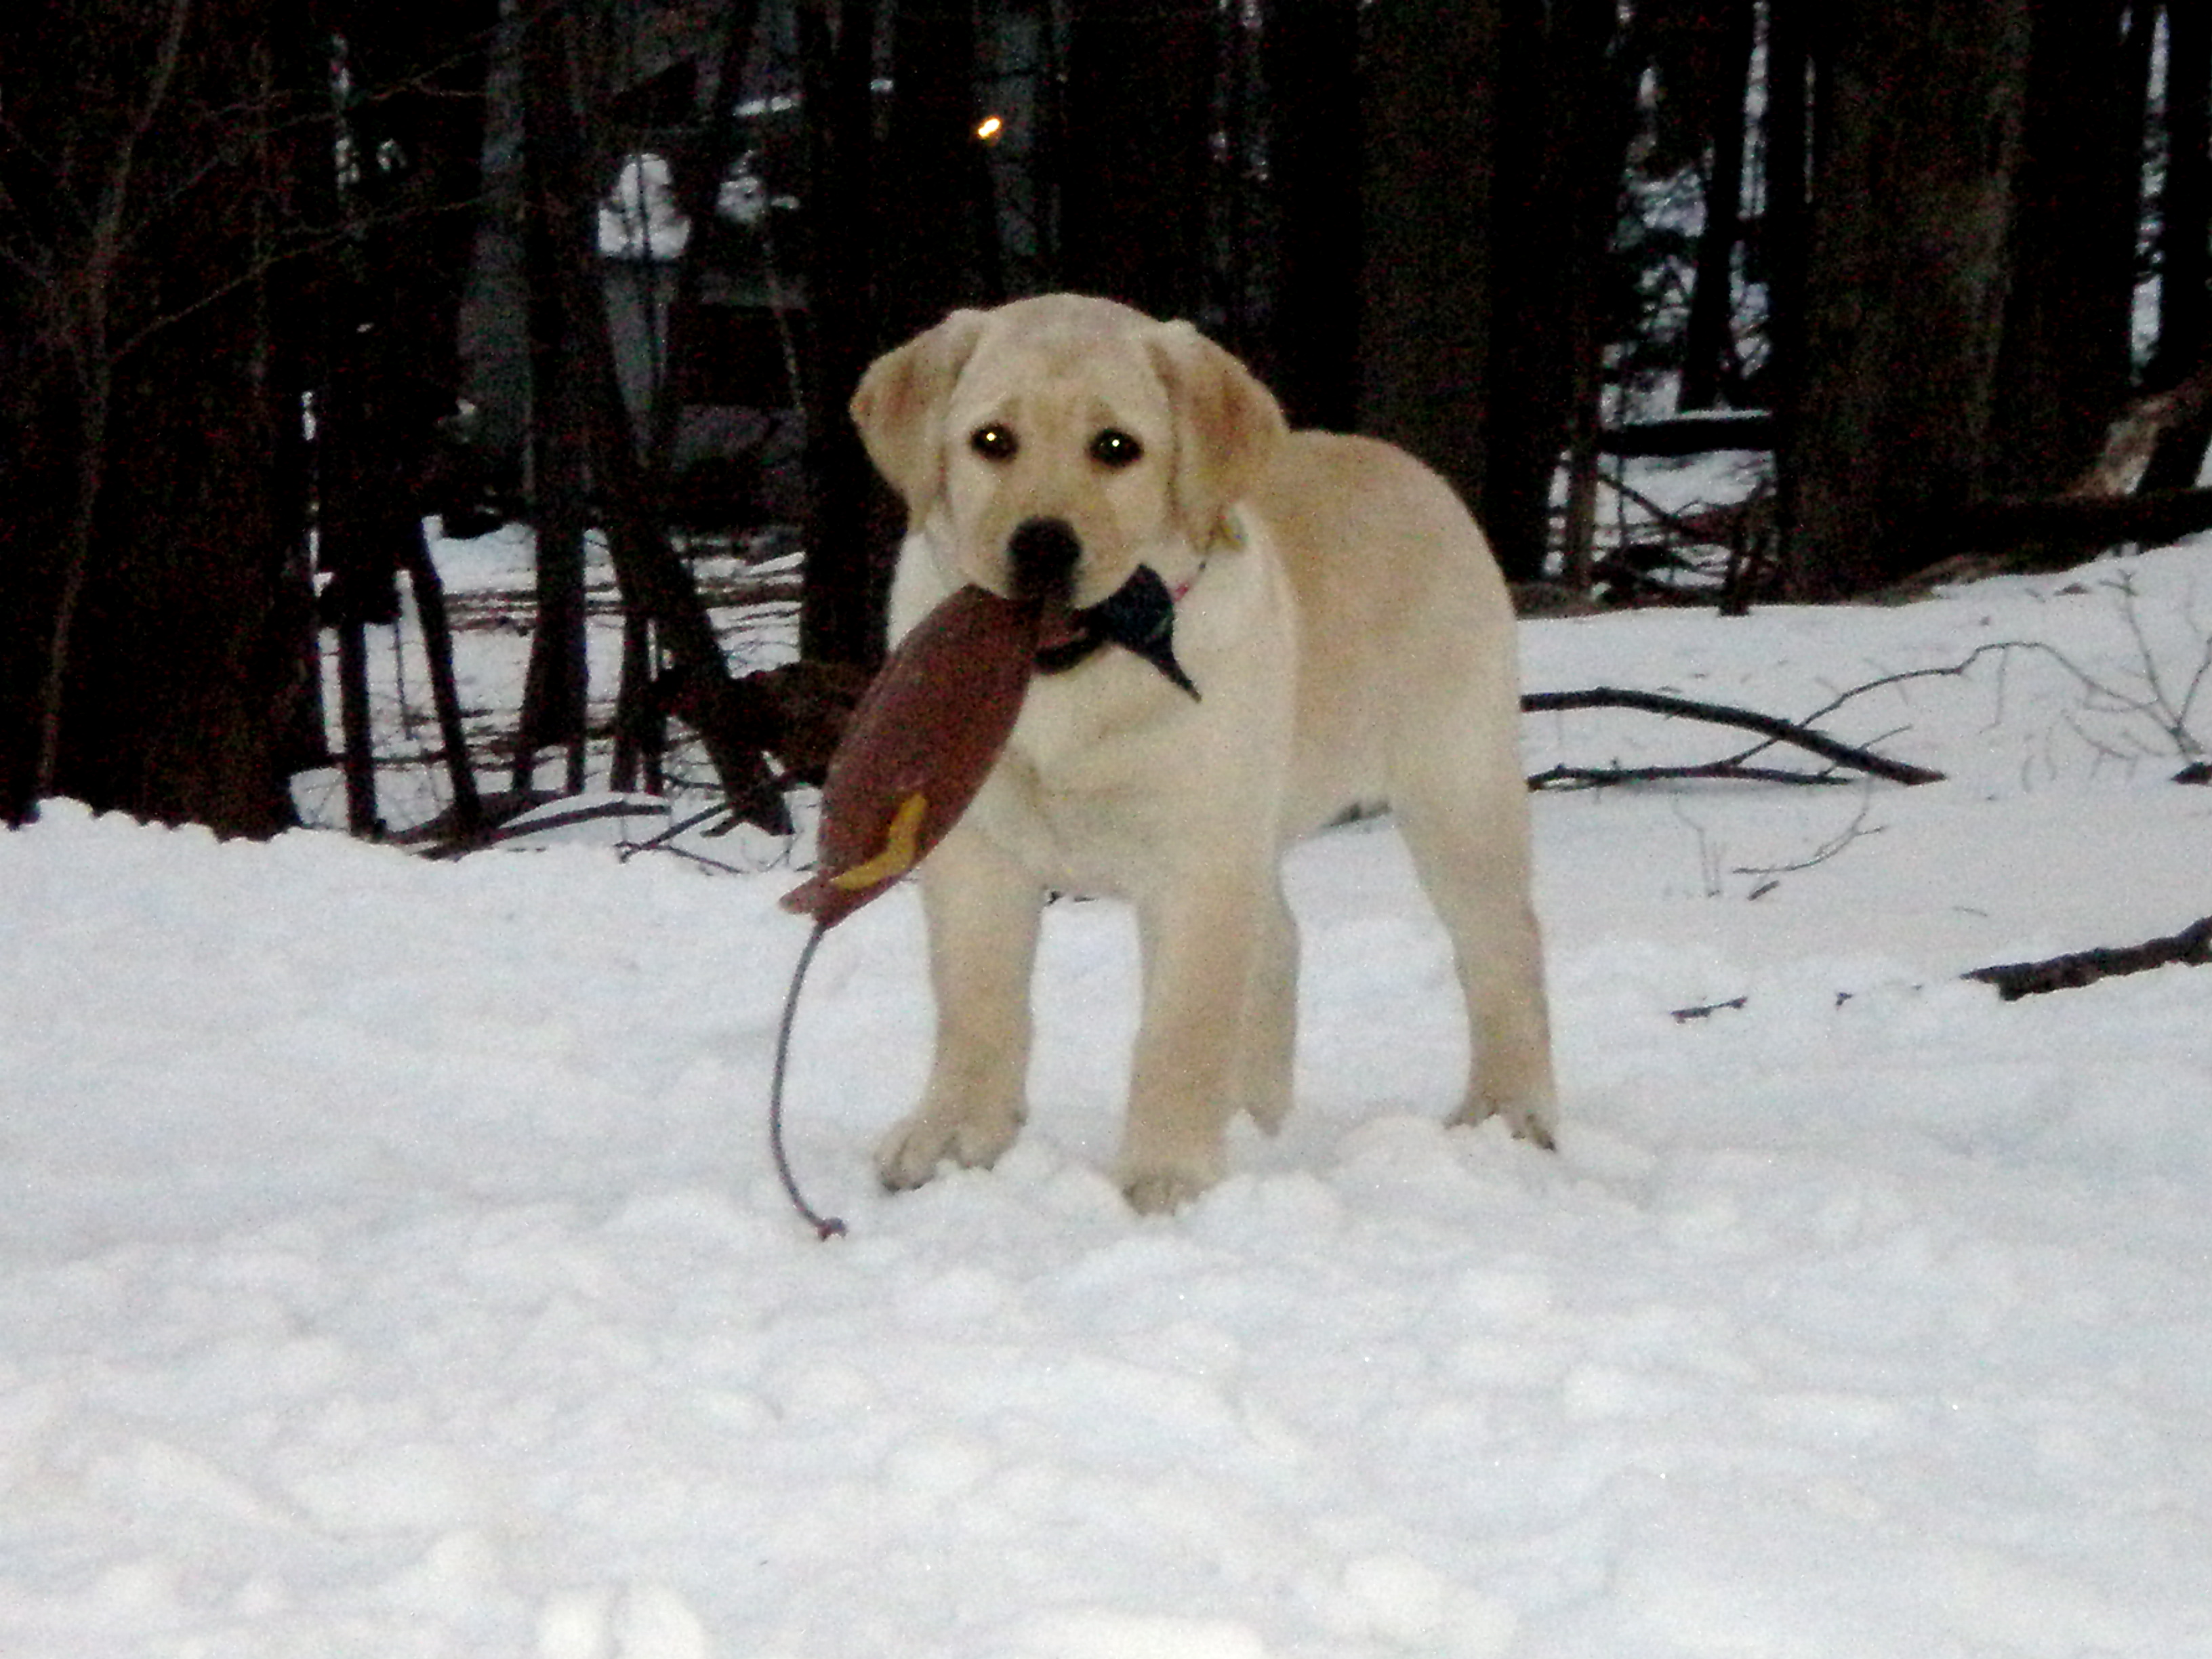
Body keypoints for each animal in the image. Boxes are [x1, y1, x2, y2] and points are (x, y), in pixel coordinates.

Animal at [844, 291, 1557, 1212]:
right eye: (992, 440)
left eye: (1117, 448)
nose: (1043, 544)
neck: (1070, 684)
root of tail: (1404, 464)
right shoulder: (974, 849)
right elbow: (976, 1003)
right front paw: (953, 1138)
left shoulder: (1200, 862)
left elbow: (1181, 1029)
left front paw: (1167, 1175)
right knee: (1282, 942)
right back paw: (1257, 1124)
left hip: (1456, 788)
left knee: (1503, 944)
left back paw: (1509, 1113)